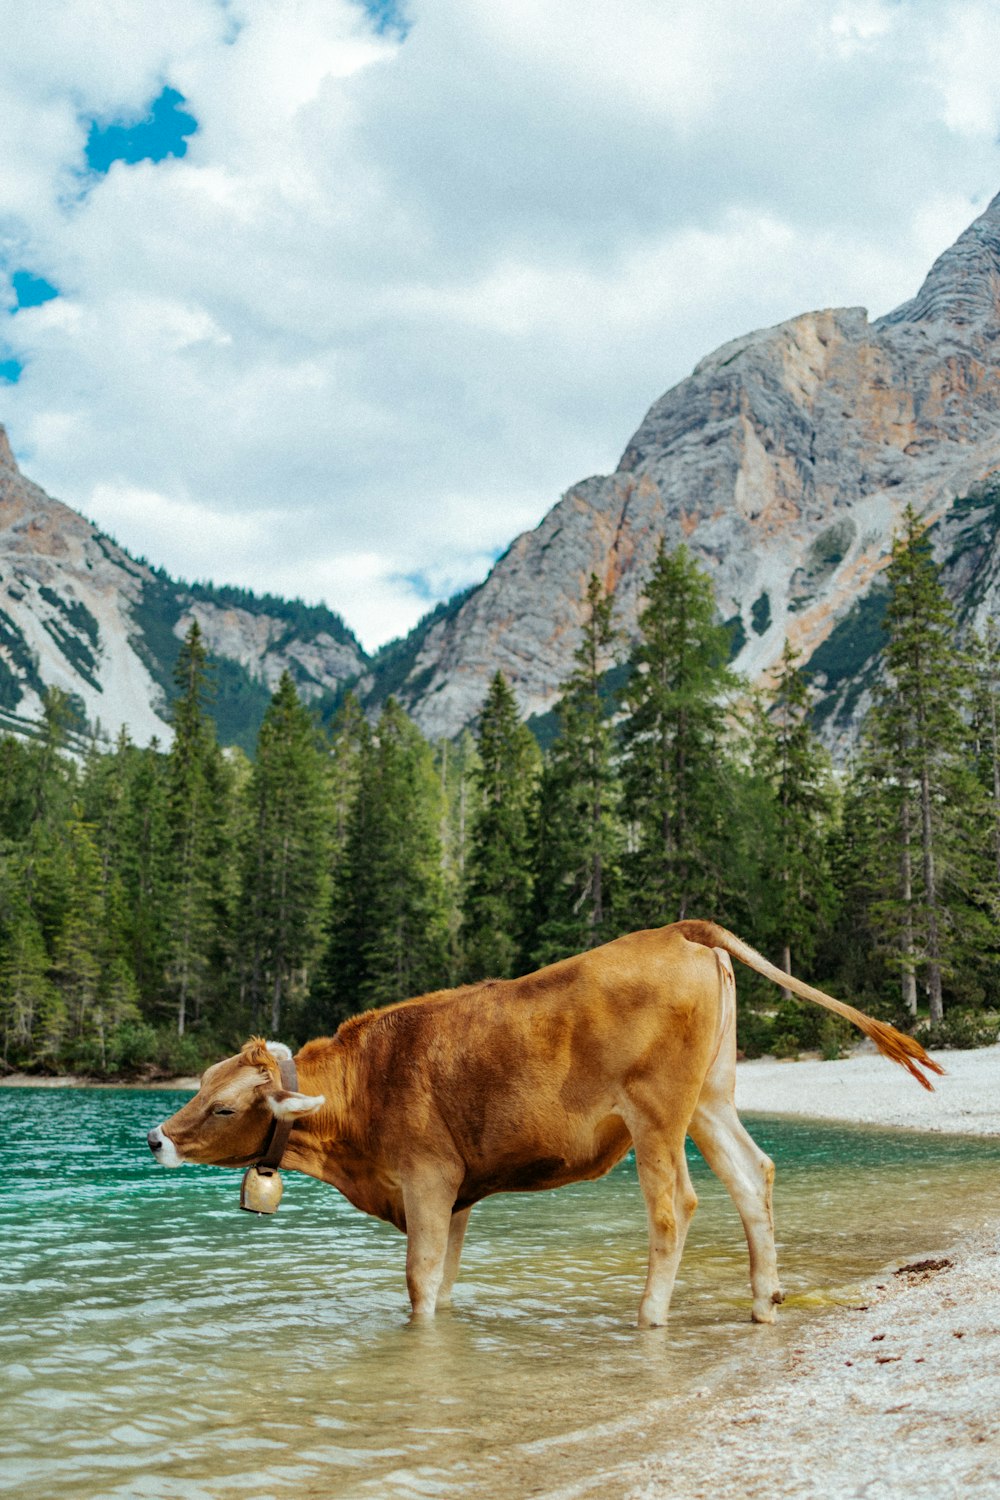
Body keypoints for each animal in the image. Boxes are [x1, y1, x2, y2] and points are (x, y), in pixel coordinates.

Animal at [146, 924, 941, 1326]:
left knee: (675, 1207)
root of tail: (674, 929)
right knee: (754, 1176)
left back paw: (650, 1315)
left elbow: (418, 1284)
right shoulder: (457, 1193)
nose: (155, 1136)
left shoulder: (428, 1179)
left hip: (657, 1113)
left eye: (223, 1106)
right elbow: (444, 1282)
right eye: (201, 1085)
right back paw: (764, 1302)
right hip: (710, 1098)